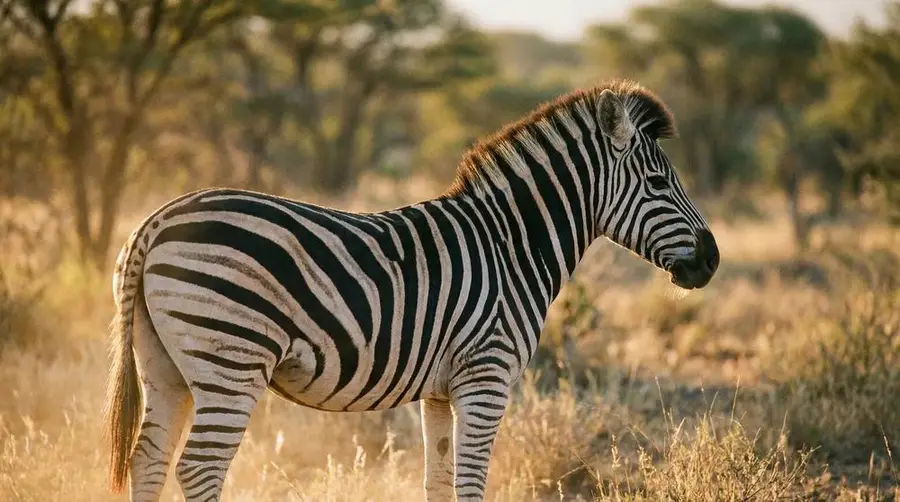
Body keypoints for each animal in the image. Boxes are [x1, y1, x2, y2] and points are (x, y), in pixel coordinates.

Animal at [104, 79, 719, 502]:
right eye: (658, 182)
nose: (711, 260)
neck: (512, 244)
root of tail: (156, 221)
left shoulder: (440, 390)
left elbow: (439, 482)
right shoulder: (487, 374)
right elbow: (470, 483)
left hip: (165, 365)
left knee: (148, 459)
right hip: (230, 357)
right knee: (199, 467)